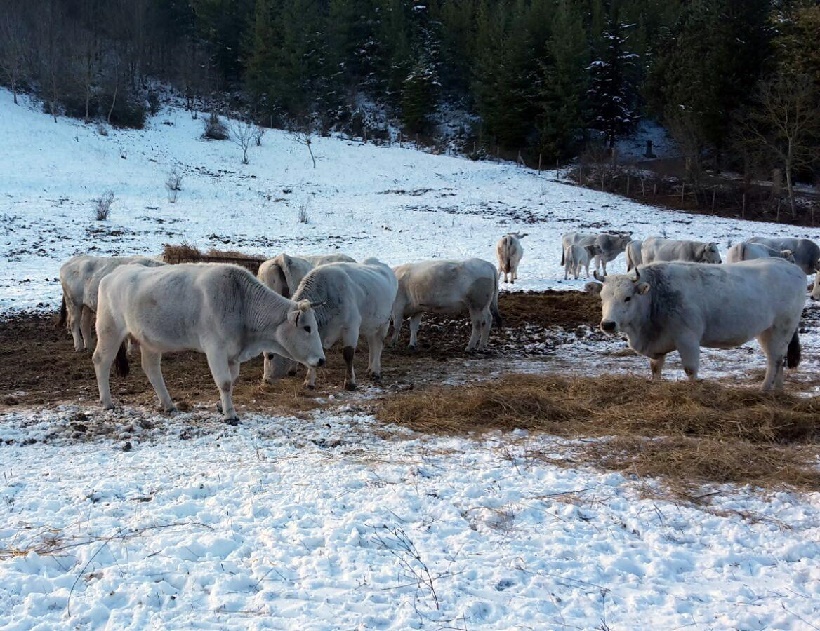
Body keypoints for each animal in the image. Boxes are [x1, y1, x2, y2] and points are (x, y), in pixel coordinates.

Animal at [94, 264, 326, 422]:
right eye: (307, 328)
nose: (321, 360)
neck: (241, 301)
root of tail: (114, 274)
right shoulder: (215, 349)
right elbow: (224, 382)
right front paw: (230, 415)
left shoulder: (233, 354)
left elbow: (232, 380)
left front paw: (221, 405)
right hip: (109, 330)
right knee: (101, 361)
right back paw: (107, 402)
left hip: (150, 341)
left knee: (151, 369)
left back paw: (168, 404)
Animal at [268, 258, 398, 390]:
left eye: (271, 355)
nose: (266, 380)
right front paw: (309, 382)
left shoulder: (351, 327)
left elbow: (348, 354)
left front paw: (350, 382)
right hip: (370, 325)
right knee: (372, 343)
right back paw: (370, 369)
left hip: (384, 323)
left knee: (378, 345)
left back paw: (375, 371)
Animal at [592, 258, 804, 390]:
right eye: (602, 297)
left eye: (627, 297)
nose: (608, 324)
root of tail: (792, 267)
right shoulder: (658, 344)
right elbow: (655, 368)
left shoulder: (687, 338)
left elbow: (690, 369)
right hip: (766, 332)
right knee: (778, 359)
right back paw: (778, 390)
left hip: (781, 328)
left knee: (774, 359)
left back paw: (764, 389)